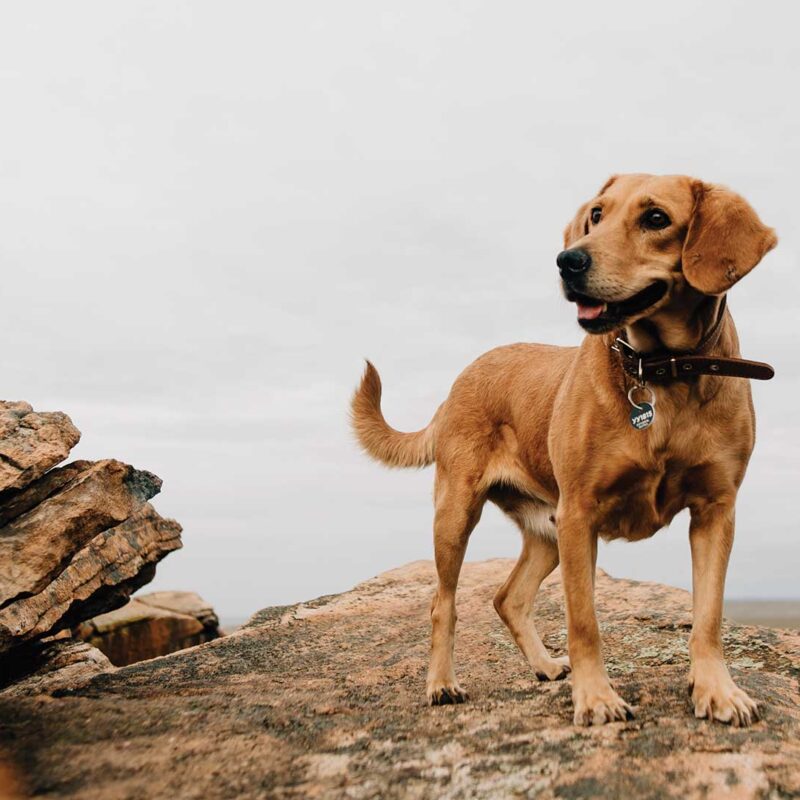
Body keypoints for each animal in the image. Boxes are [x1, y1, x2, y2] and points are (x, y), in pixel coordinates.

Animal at [350, 173, 776, 724]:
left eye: (656, 218)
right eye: (597, 214)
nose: (567, 260)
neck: (661, 371)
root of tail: (457, 383)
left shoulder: (714, 513)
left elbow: (708, 616)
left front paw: (717, 690)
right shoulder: (581, 514)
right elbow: (584, 620)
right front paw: (596, 698)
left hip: (546, 532)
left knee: (508, 598)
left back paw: (545, 666)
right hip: (459, 514)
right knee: (443, 603)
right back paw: (442, 683)